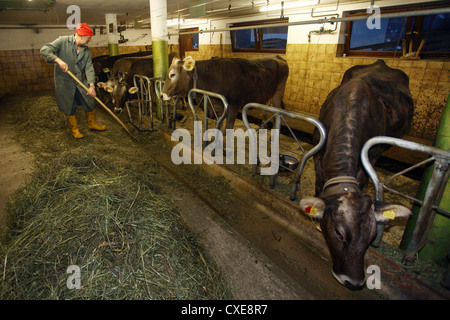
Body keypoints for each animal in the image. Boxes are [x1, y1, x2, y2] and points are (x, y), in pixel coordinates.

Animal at [298, 59, 414, 290]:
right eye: (338, 233)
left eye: (371, 236)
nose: (353, 282)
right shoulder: (318, 150)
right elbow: (319, 184)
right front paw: (315, 214)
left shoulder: (369, 156)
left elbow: (362, 179)